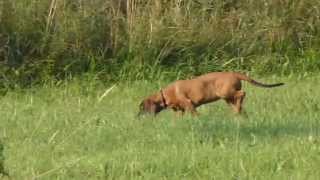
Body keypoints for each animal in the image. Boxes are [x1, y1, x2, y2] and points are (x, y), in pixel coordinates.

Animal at [139, 71, 284, 116]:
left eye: (142, 108)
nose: (138, 117)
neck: (165, 95)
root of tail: (234, 74)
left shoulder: (189, 104)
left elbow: (195, 114)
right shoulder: (180, 110)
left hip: (225, 93)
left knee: (242, 93)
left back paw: (237, 111)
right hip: (228, 98)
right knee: (238, 102)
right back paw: (238, 113)